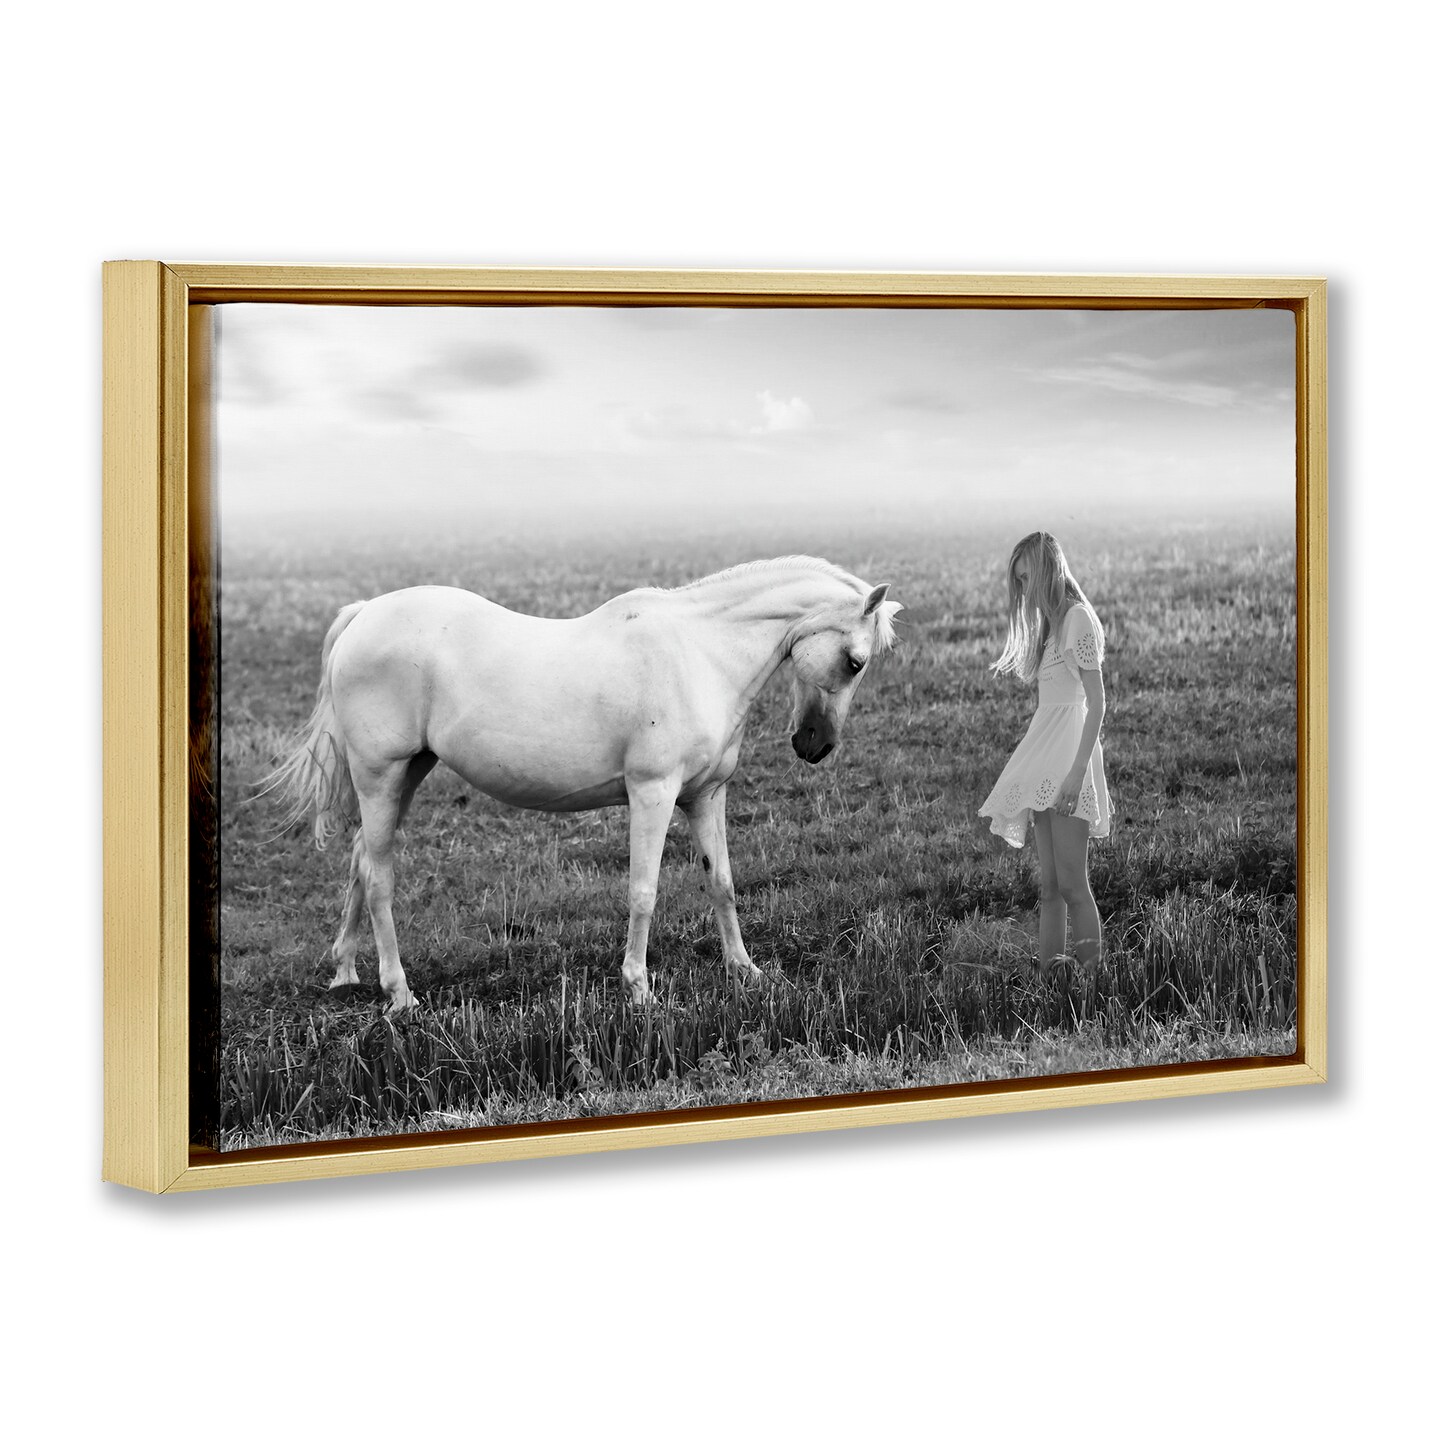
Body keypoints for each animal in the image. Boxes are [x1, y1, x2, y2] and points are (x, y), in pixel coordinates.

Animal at [265, 556, 903, 1016]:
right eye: (854, 661)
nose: (815, 746)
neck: (700, 653)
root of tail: (364, 614)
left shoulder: (705, 796)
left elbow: (721, 882)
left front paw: (745, 971)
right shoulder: (653, 793)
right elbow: (643, 892)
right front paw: (639, 988)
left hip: (408, 774)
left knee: (360, 861)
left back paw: (346, 971)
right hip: (380, 776)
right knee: (379, 880)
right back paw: (399, 994)